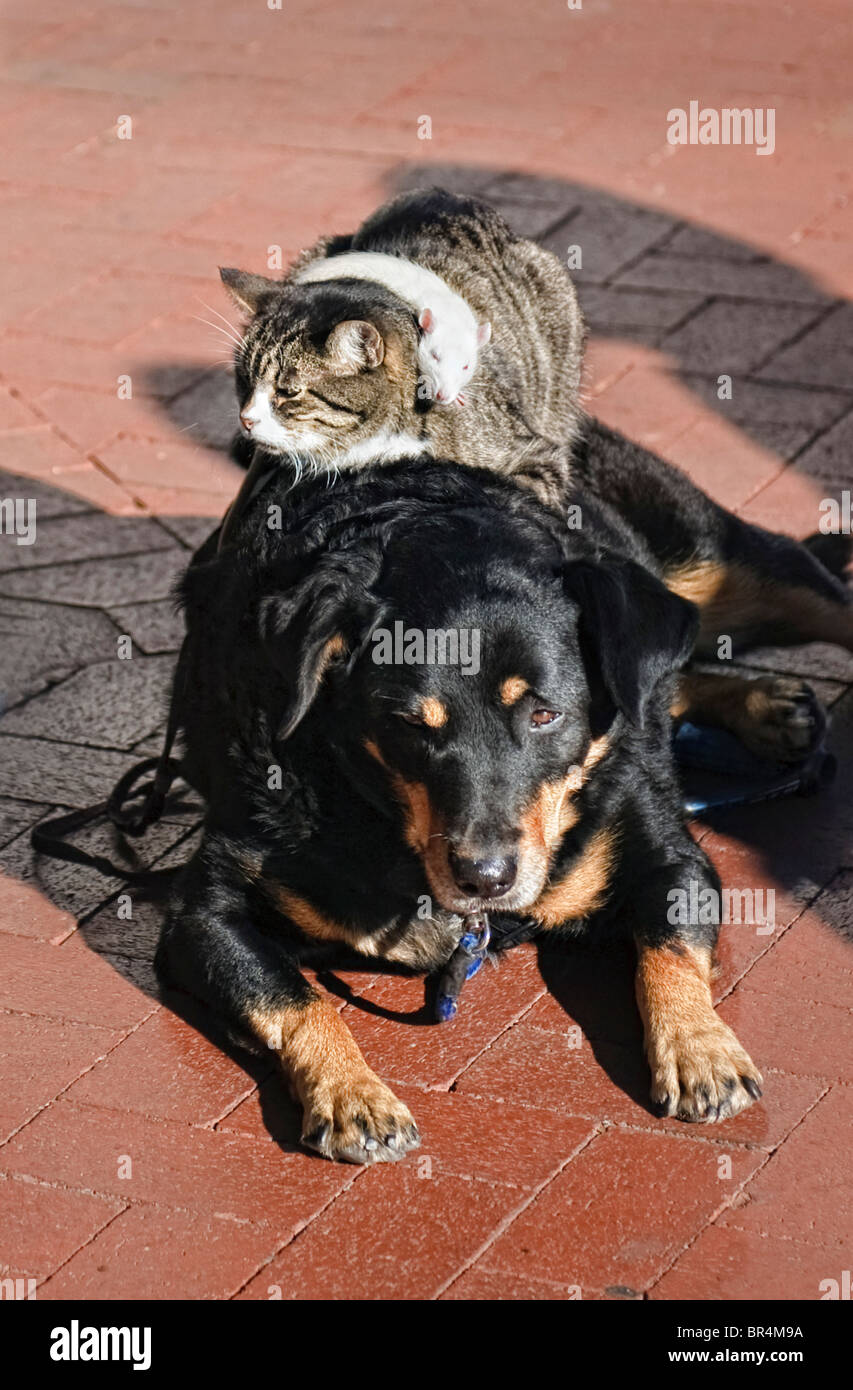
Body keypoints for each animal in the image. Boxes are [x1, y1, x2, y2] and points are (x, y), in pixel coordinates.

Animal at [156, 455, 772, 1162]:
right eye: (409, 725)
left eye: (545, 714)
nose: (485, 877)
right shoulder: (204, 914)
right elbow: (293, 997)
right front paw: (352, 1093)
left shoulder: (672, 858)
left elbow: (669, 947)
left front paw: (701, 1048)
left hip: (713, 559)